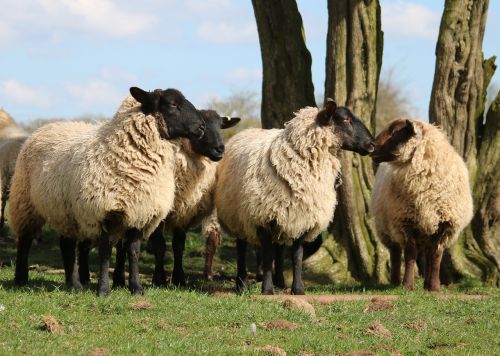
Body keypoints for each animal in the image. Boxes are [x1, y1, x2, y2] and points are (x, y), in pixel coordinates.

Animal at [11, 87, 207, 296]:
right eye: (172, 104)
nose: (202, 127)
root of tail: (48, 126)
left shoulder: (140, 212)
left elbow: (133, 252)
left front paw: (136, 288)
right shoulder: (104, 211)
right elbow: (105, 253)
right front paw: (104, 289)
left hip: (65, 210)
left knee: (67, 245)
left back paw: (74, 285)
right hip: (25, 201)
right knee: (25, 240)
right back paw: (21, 279)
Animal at [111, 110, 240, 288]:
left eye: (220, 125)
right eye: (202, 126)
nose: (220, 149)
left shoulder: (183, 211)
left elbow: (179, 245)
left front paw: (179, 278)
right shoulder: (159, 211)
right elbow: (160, 245)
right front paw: (159, 279)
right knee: (120, 244)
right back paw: (118, 279)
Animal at [215, 100, 376, 294]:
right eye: (345, 119)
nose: (372, 143)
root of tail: (245, 131)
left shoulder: (303, 217)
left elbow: (296, 255)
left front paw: (297, 289)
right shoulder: (262, 217)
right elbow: (267, 255)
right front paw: (267, 289)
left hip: (283, 215)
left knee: (278, 248)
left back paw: (279, 282)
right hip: (238, 214)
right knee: (242, 247)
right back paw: (241, 284)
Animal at [372, 118, 472, 290]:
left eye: (395, 132)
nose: (371, 146)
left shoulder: (444, 224)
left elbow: (436, 255)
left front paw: (434, 287)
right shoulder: (405, 222)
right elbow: (410, 254)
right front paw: (407, 285)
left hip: (426, 228)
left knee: (427, 254)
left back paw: (426, 282)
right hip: (387, 230)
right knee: (395, 253)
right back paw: (395, 281)